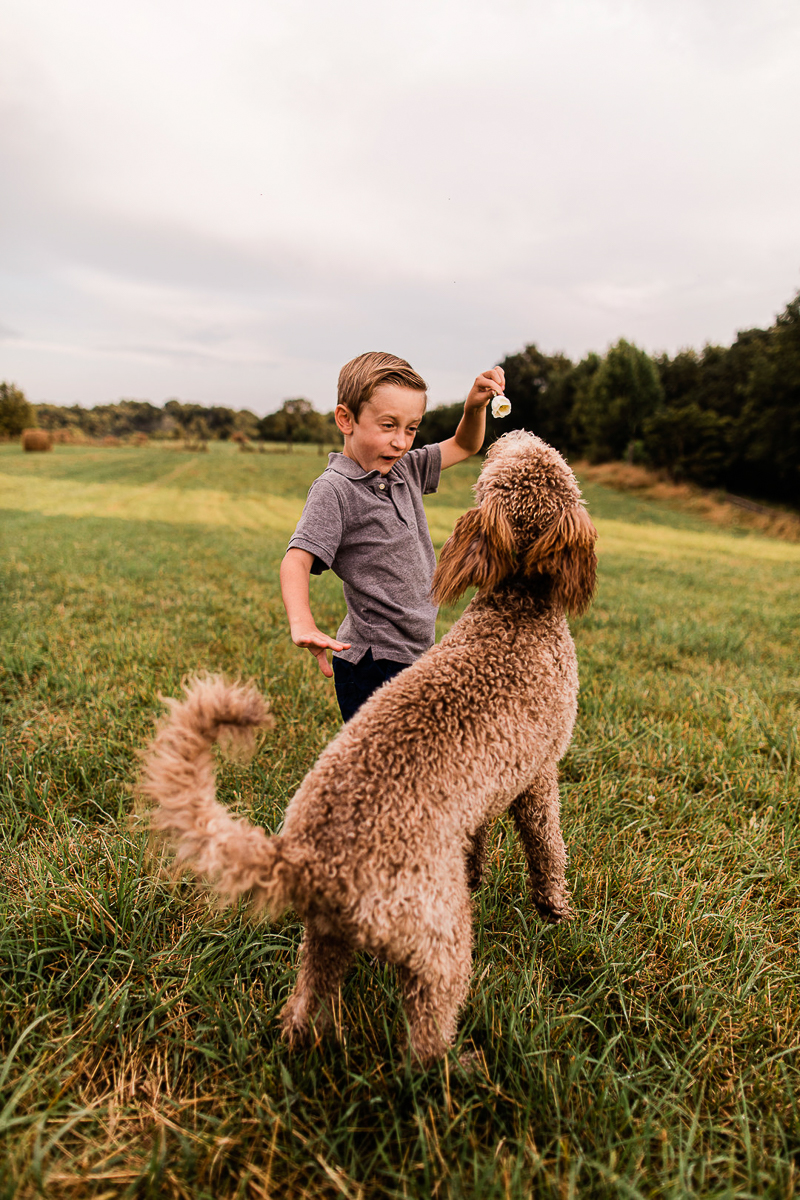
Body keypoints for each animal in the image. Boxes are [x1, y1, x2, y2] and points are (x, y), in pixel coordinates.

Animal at [140, 429, 597, 1060]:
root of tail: (307, 858)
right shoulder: (539, 775)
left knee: (307, 1007)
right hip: (438, 943)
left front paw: (478, 877)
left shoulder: (488, 791)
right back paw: (458, 1067)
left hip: (325, 940)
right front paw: (557, 912)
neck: (516, 609)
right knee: (426, 1033)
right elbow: (547, 850)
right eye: (525, 463)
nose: (510, 432)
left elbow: (478, 842)